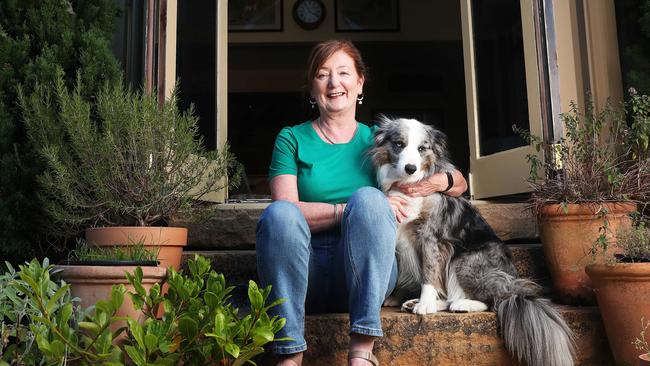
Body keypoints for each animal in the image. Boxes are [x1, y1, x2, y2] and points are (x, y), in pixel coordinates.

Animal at [370, 116, 572, 366]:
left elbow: (428, 273)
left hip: (463, 261)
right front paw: (400, 296)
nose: (411, 168)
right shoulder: (400, 237)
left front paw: (424, 304)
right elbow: (405, 271)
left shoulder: (431, 237)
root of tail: (512, 287)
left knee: (490, 300)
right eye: (399, 144)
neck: (409, 185)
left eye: (422, 149)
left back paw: (461, 304)